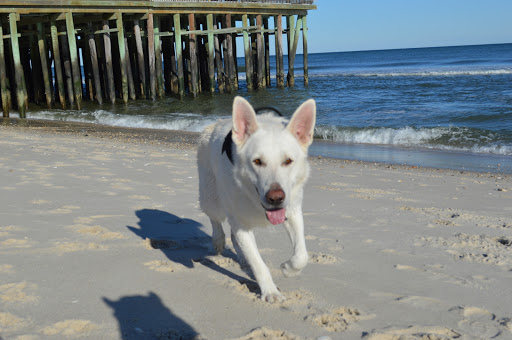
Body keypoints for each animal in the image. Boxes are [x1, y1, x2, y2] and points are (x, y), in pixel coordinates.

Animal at [197, 96, 314, 302]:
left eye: (288, 161)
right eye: (258, 161)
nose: (276, 198)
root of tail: (213, 124)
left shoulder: (292, 211)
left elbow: (301, 255)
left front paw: (288, 268)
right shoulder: (241, 223)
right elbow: (259, 264)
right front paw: (270, 292)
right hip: (211, 197)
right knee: (215, 219)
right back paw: (218, 240)